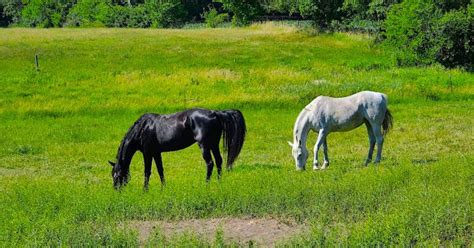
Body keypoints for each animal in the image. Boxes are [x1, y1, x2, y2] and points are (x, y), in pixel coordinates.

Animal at [109, 107, 246, 189]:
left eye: (116, 174)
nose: (116, 189)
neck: (143, 128)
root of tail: (215, 113)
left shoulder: (147, 153)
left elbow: (147, 171)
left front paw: (145, 190)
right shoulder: (156, 152)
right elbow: (160, 170)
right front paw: (163, 188)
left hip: (204, 146)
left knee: (210, 163)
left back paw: (206, 185)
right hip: (213, 145)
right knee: (219, 161)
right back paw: (218, 183)